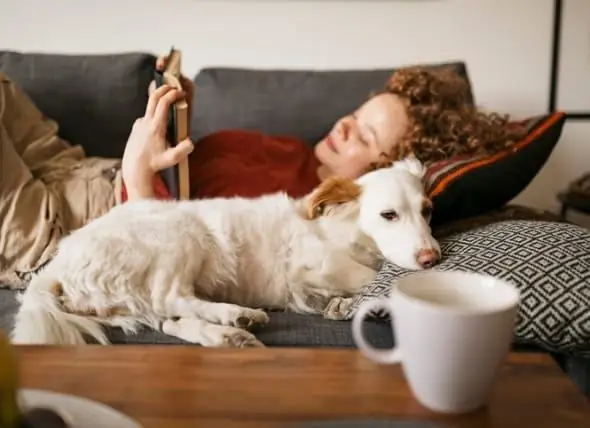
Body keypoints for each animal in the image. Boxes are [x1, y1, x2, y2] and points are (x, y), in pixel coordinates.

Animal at [11, 157, 442, 348]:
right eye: (389, 215)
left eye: (427, 210)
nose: (432, 258)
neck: (343, 228)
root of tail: (56, 266)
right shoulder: (310, 265)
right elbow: (368, 275)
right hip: (179, 233)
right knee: (170, 297)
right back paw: (236, 316)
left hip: (132, 301)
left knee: (170, 321)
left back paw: (229, 332)